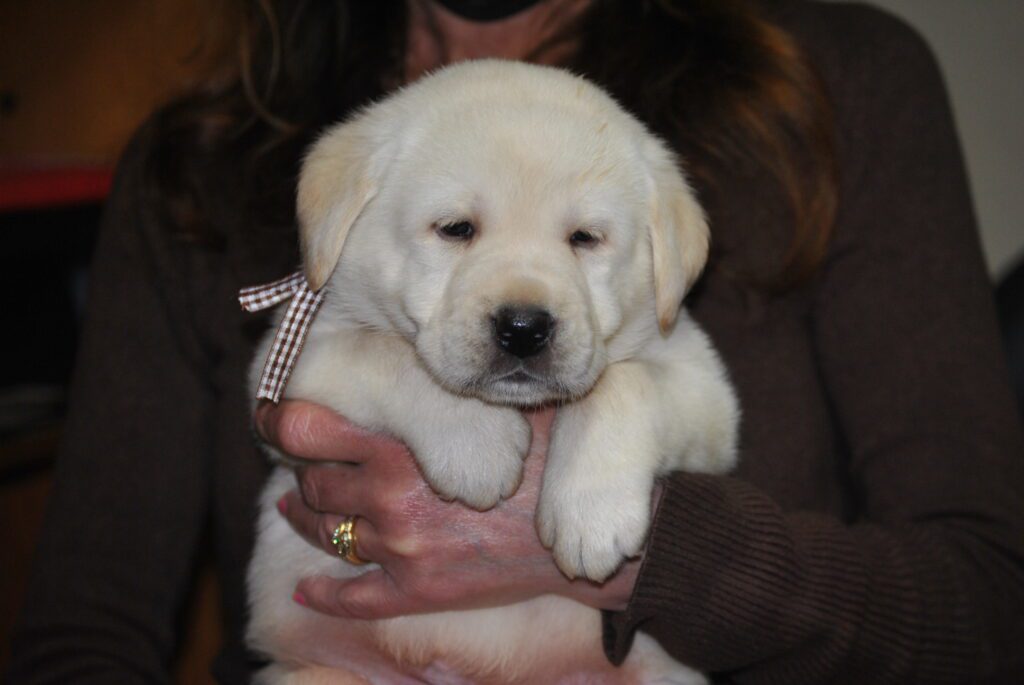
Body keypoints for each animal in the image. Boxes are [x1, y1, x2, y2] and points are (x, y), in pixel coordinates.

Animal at [249, 60, 745, 683]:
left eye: (585, 238)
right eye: (456, 228)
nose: (524, 328)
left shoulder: (703, 386)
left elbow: (625, 383)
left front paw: (591, 511)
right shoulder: (293, 361)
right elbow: (387, 353)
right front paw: (477, 447)